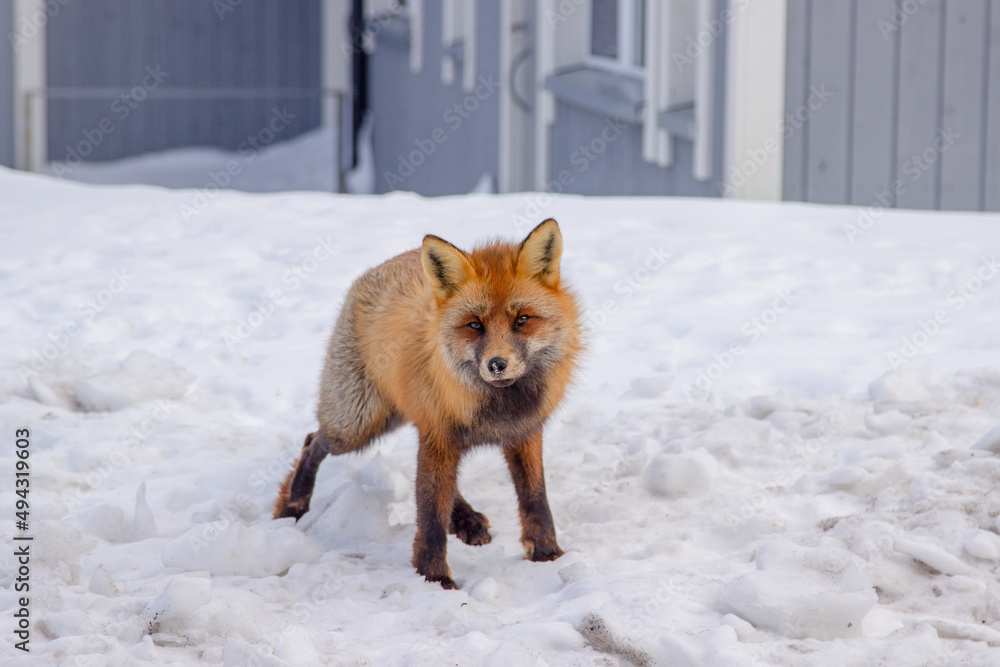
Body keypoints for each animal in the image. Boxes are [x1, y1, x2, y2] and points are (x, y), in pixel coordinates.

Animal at [273, 219, 583, 589]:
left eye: (522, 319)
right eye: (474, 325)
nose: (497, 364)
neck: (497, 409)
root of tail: (382, 265)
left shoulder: (524, 432)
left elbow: (535, 499)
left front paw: (548, 555)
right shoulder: (438, 436)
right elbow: (431, 515)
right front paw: (435, 580)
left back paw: (466, 520)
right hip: (359, 424)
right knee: (312, 441)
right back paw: (293, 506)